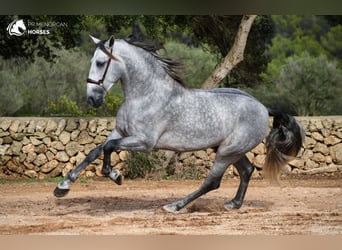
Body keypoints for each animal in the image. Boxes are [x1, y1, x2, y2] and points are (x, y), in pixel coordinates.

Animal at [54, 35, 304, 213]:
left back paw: (174, 206)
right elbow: (94, 151)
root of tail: (263, 108)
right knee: (247, 170)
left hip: (227, 151)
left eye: (100, 62)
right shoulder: (120, 131)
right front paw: (62, 187)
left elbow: (107, 148)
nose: (92, 99)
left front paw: (115, 175)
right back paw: (233, 204)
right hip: (229, 149)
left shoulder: (144, 142)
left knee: (212, 182)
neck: (145, 95)